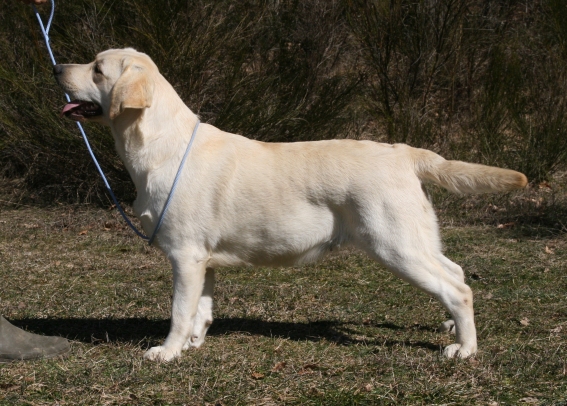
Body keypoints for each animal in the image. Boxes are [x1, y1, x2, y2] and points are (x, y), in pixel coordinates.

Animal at [54, 48, 528, 361]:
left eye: (97, 69)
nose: (57, 67)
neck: (159, 144)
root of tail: (403, 151)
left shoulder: (185, 255)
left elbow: (178, 311)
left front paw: (168, 352)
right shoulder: (203, 259)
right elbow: (200, 311)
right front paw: (193, 344)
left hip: (394, 245)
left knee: (459, 288)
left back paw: (464, 348)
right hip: (415, 237)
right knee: (456, 271)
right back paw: (450, 326)